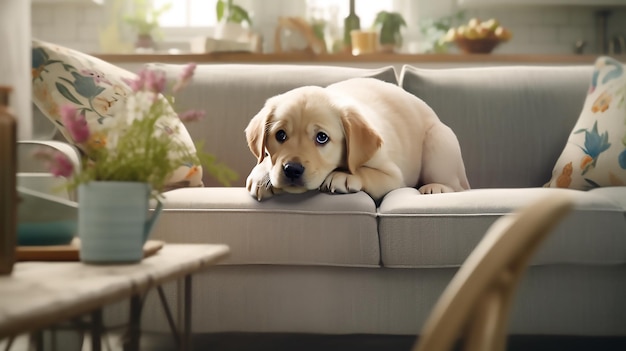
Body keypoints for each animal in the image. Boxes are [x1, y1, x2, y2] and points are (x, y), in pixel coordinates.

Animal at [244, 78, 468, 202]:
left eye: (322, 138)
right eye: (280, 135)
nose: (292, 169)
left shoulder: (394, 176)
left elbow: (364, 171)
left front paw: (342, 175)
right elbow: (265, 160)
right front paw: (261, 175)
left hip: (438, 141)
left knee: (456, 187)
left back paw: (436, 187)